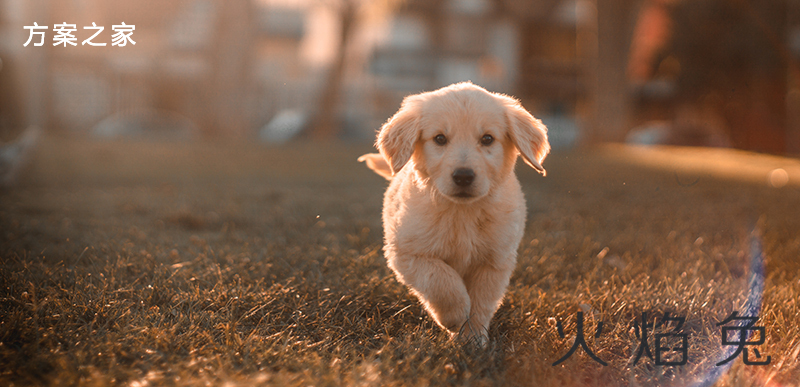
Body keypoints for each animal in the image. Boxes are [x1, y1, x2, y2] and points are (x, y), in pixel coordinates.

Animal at [358, 82, 552, 346]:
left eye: (487, 139)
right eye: (440, 139)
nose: (463, 176)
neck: (462, 212)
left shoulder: (495, 261)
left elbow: (481, 301)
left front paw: (473, 338)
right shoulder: (407, 252)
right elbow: (441, 280)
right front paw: (456, 316)